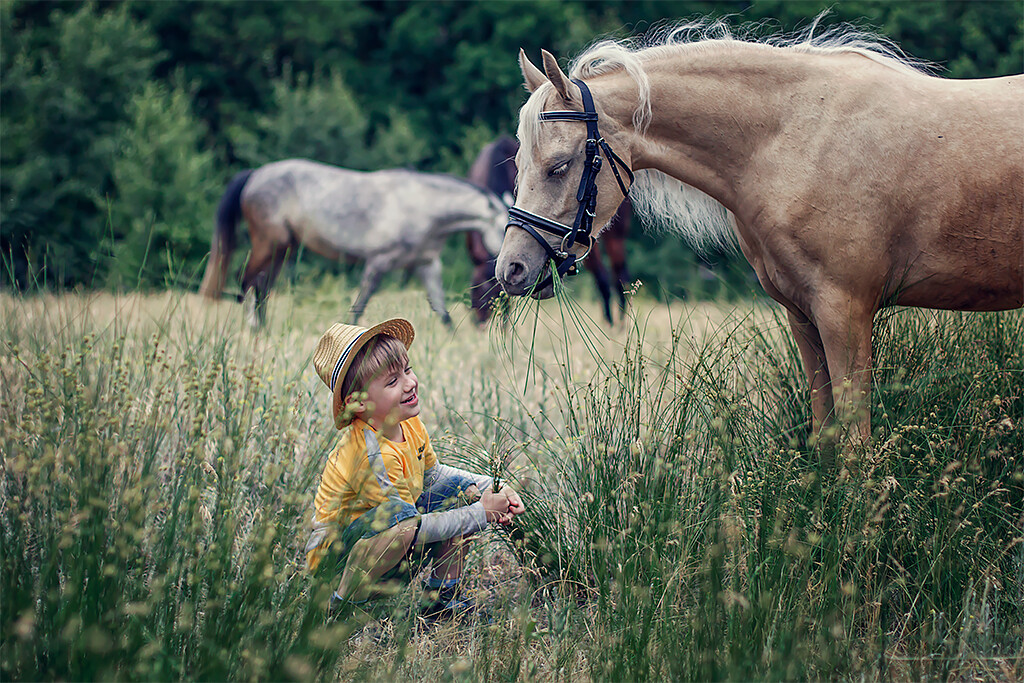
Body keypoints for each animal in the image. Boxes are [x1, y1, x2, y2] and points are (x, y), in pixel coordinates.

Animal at [198, 158, 507, 327]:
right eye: (505, 229)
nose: (506, 271)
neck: (422, 206)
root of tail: (255, 175)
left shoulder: (426, 265)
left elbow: (442, 313)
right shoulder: (378, 263)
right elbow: (358, 308)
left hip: (283, 249)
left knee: (261, 286)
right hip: (269, 244)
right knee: (248, 282)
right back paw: (253, 329)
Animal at [495, 22, 1024, 448]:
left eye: (560, 166)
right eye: (517, 162)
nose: (511, 269)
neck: (797, 138)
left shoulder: (846, 313)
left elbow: (856, 444)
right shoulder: (804, 317)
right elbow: (825, 436)